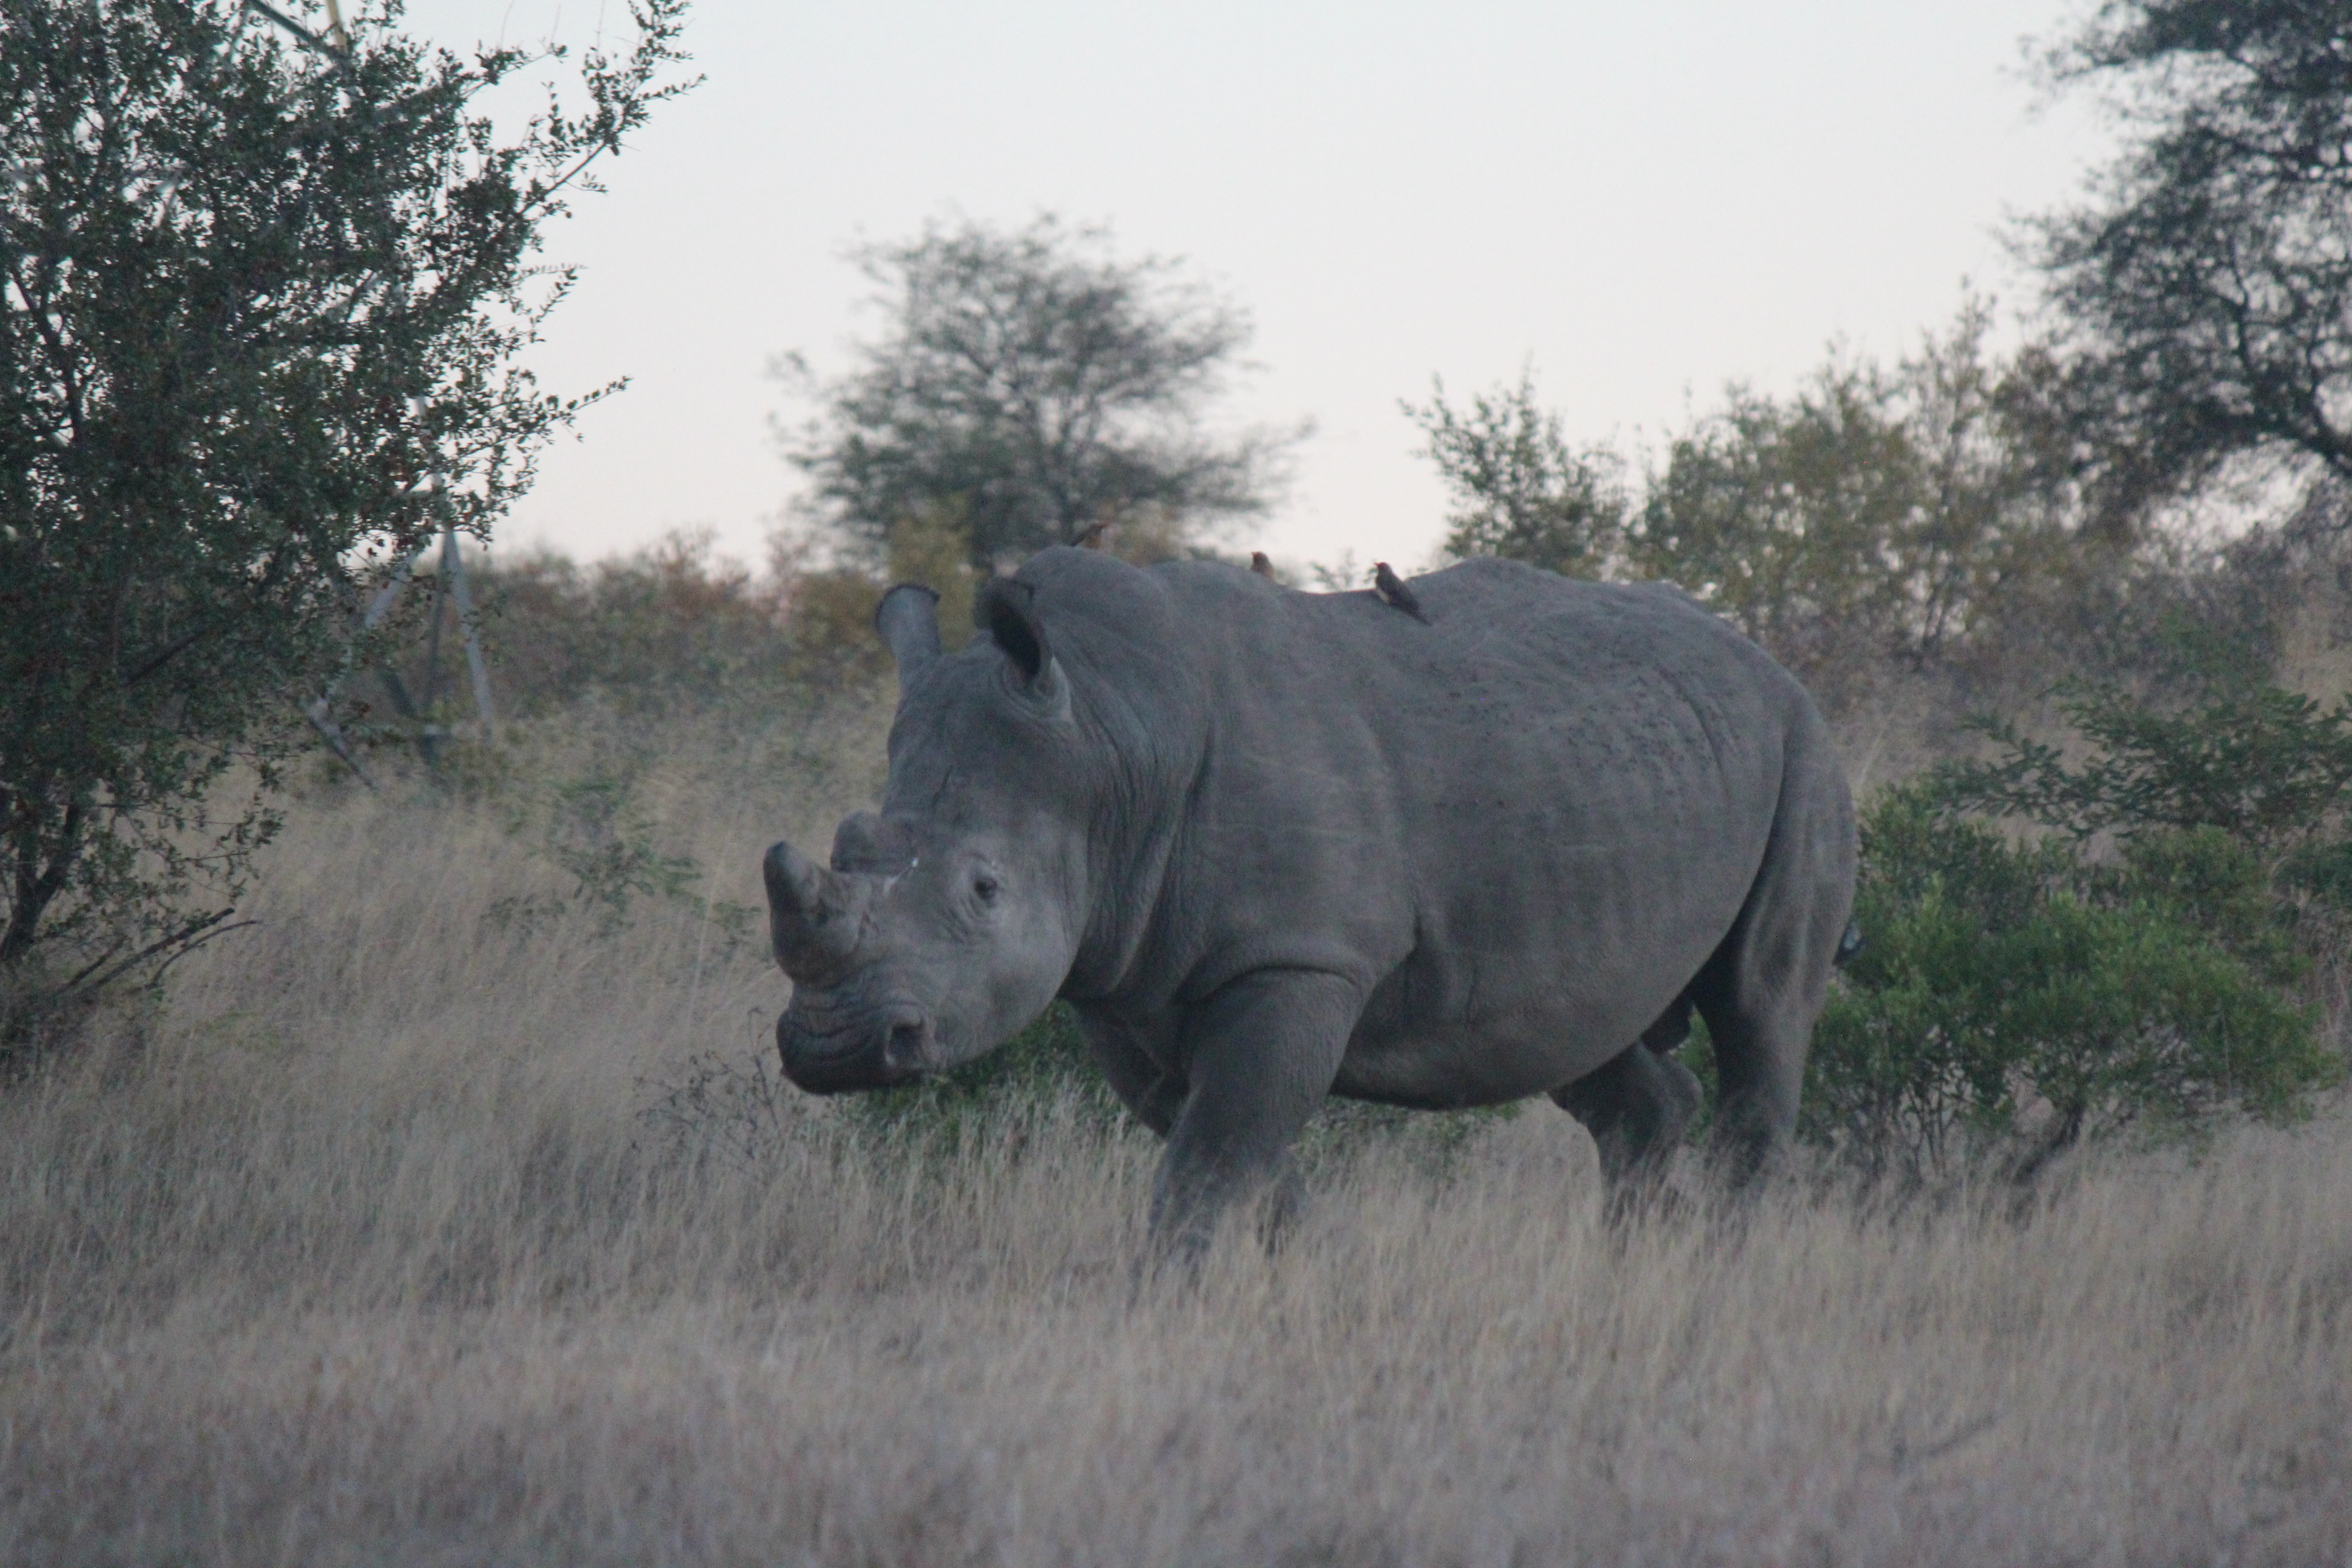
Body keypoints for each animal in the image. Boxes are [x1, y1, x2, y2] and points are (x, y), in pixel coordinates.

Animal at [764, 548, 1856, 1256]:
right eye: (848, 848)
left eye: (984, 890)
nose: (834, 1046)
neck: (1112, 736)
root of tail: (1761, 655)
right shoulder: (1119, 974)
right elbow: (1230, 1152)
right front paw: (1305, 1284)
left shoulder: (1298, 956)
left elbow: (1212, 1159)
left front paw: (1170, 1313)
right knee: (1578, 1034)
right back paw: (1631, 1275)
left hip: (1802, 744)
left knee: (1760, 1009)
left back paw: (1715, 1274)